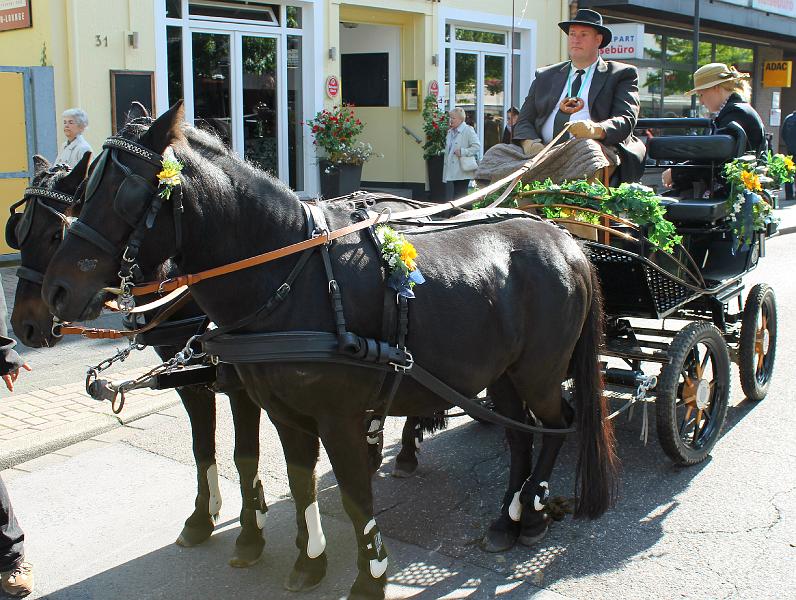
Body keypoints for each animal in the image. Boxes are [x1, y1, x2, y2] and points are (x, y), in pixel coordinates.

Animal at [40, 103, 620, 600]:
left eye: (125, 192)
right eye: (84, 189)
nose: (56, 292)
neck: (289, 278)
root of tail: (566, 241)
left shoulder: (338, 416)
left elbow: (353, 494)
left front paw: (370, 576)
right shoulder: (284, 413)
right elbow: (299, 484)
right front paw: (309, 560)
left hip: (539, 374)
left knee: (556, 425)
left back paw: (533, 509)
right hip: (500, 374)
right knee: (521, 436)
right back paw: (508, 519)